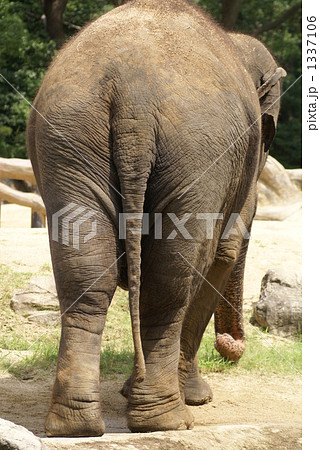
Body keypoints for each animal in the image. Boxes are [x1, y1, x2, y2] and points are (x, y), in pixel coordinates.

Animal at [26, 0, 284, 438]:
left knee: (86, 273)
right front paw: (196, 396)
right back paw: (169, 419)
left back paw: (75, 425)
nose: (232, 348)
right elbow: (222, 255)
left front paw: (131, 389)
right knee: (169, 282)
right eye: (268, 138)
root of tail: (134, 99)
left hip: (68, 139)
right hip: (195, 154)